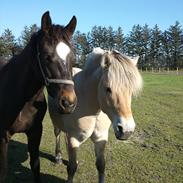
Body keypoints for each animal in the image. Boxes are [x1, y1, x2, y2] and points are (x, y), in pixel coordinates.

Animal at [0, 11, 77, 183]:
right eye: (47, 56)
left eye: (73, 57)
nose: (68, 103)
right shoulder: (2, 135)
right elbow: (3, 171)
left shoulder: (35, 131)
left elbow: (35, 165)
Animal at [49, 48, 143, 182]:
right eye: (108, 88)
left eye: (130, 90)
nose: (126, 130)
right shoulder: (73, 139)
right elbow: (71, 168)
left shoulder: (100, 138)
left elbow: (101, 165)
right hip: (56, 123)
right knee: (57, 134)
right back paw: (58, 157)